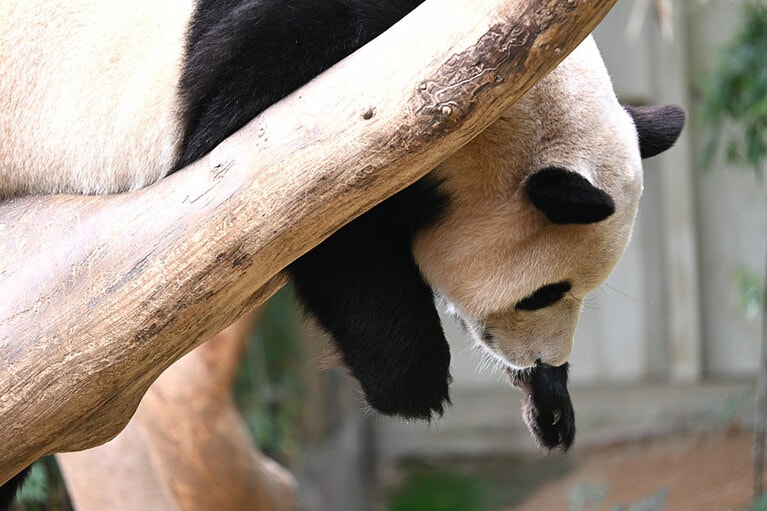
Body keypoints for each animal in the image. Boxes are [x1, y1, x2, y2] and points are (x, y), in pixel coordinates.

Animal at [0, 0, 684, 506]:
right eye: (545, 293)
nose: (544, 360)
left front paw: (551, 407)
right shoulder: (299, 69)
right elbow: (301, 205)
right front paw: (411, 381)